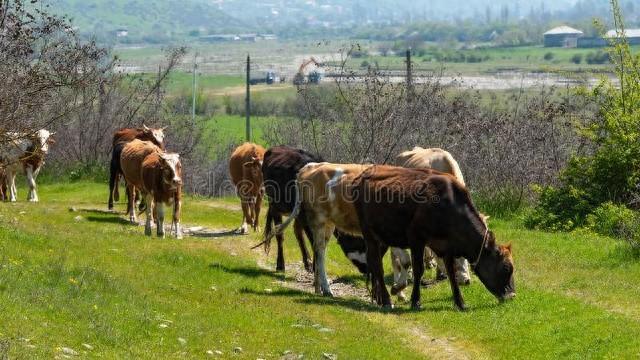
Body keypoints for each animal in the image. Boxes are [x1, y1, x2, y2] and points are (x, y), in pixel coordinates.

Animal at [350, 165, 516, 310]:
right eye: (506, 267)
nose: (512, 296)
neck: (448, 207)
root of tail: (362, 175)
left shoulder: (447, 246)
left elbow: (451, 273)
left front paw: (460, 302)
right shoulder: (416, 238)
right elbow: (418, 270)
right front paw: (416, 301)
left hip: (383, 237)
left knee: (373, 263)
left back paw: (377, 297)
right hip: (369, 234)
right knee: (377, 265)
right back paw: (385, 300)